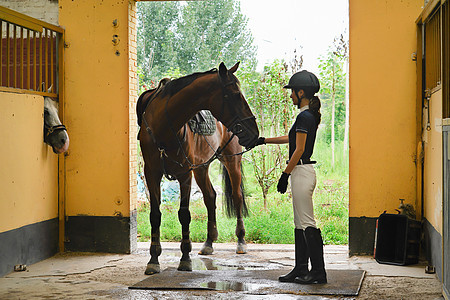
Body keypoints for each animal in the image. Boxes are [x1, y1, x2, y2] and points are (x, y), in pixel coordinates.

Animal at [135, 61, 258, 274]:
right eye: (235, 94)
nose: (254, 132)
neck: (164, 126)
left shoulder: (184, 173)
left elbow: (184, 215)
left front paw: (185, 258)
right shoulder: (151, 173)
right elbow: (155, 215)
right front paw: (153, 259)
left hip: (231, 162)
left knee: (237, 196)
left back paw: (241, 241)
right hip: (201, 168)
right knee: (210, 197)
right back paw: (208, 242)